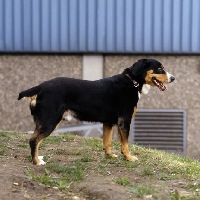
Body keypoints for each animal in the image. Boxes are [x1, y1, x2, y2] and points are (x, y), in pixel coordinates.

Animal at [18, 58, 175, 165]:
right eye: (160, 68)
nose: (173, 78)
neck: (132, 82)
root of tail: (41, 87)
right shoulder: (124, 121)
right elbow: (125, 144)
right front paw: (129, 157)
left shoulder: (108, 123)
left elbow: (107, 142)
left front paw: (110, 156)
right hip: (50, 121)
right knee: (33, 140)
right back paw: (37, 161)